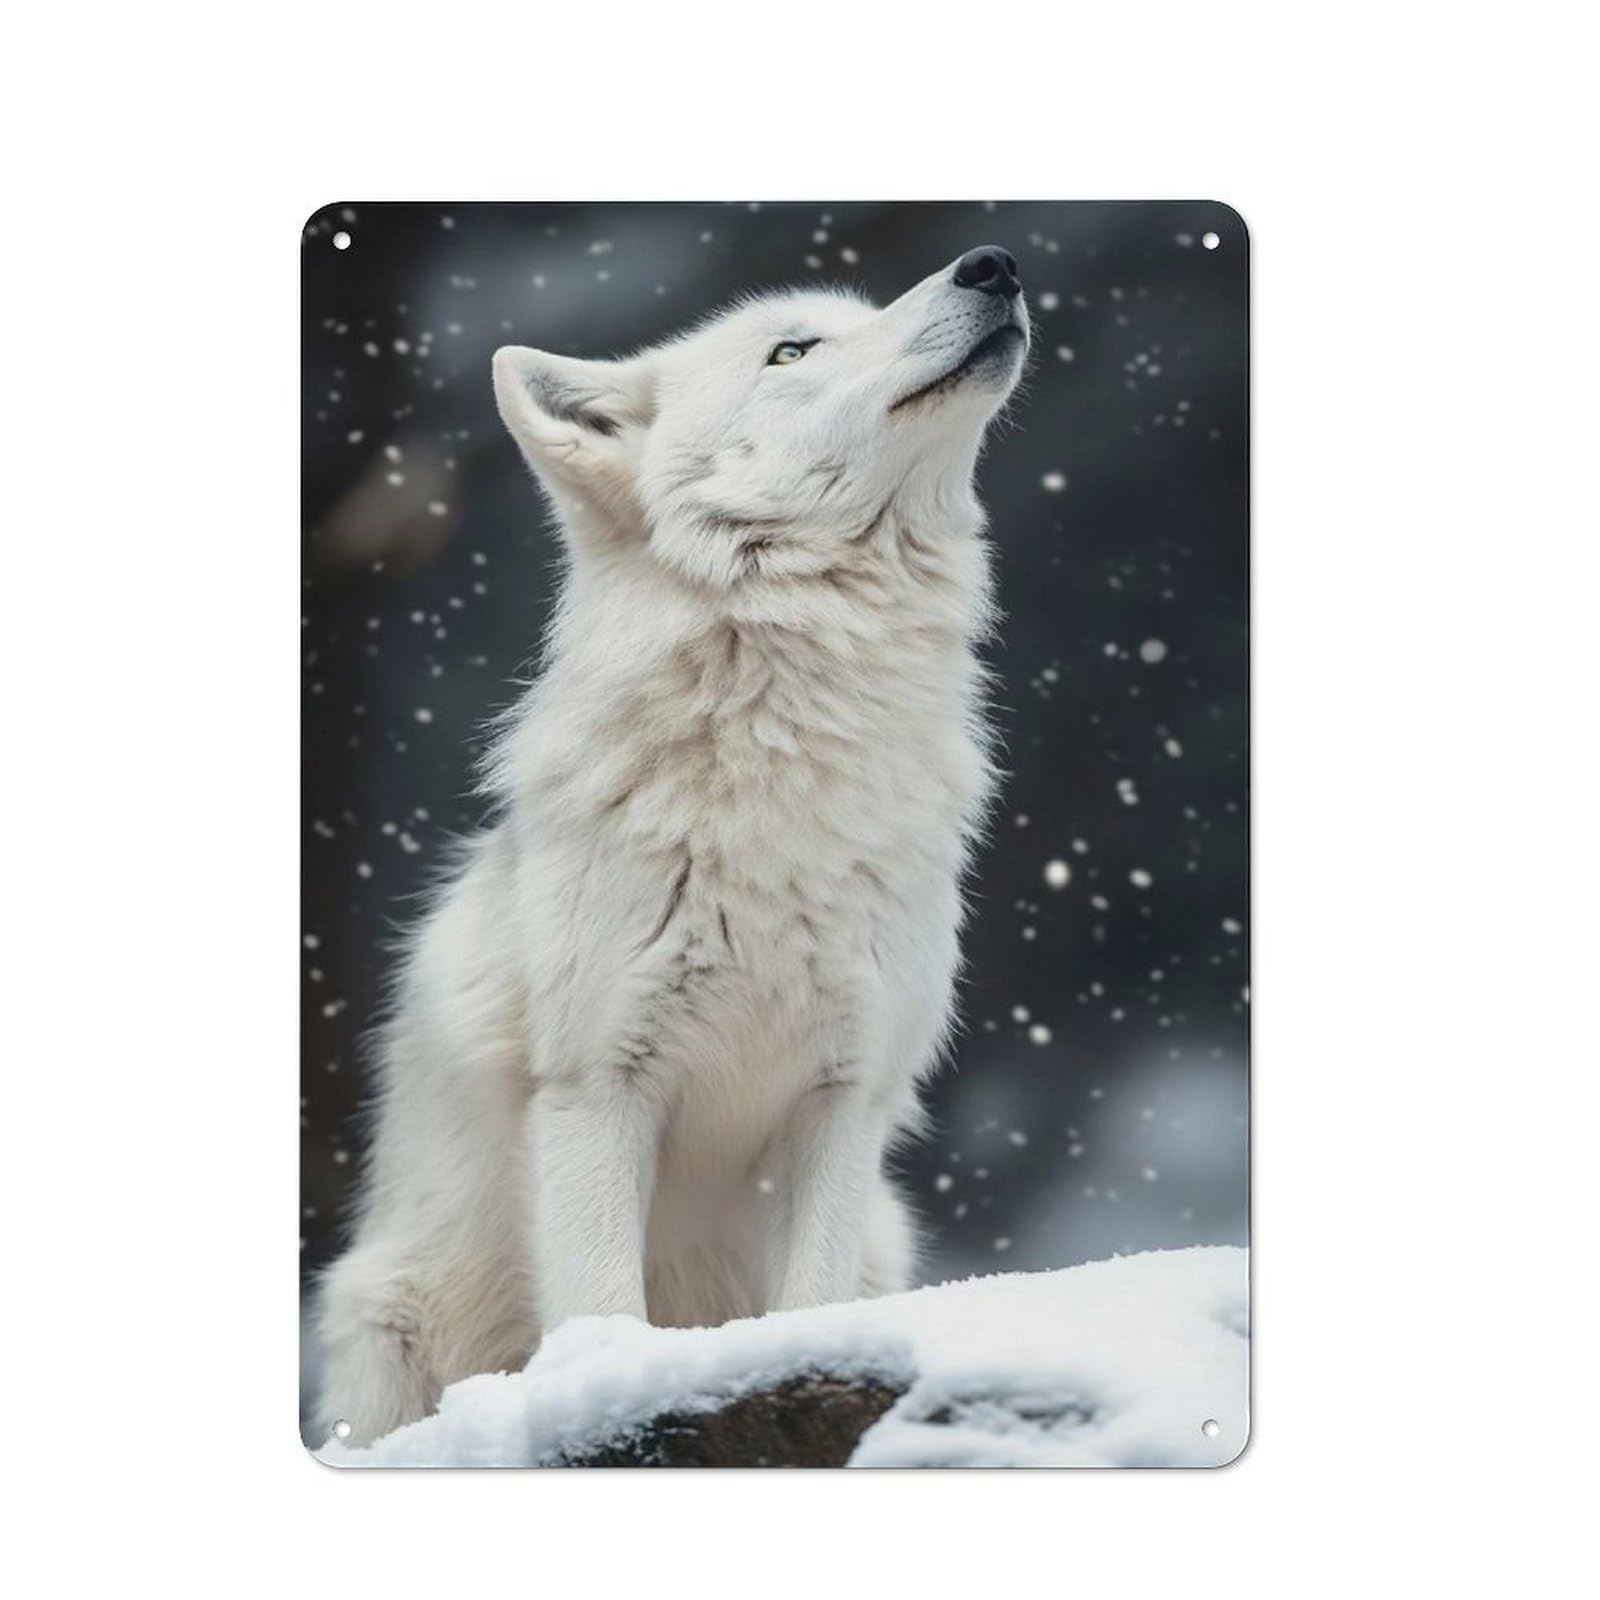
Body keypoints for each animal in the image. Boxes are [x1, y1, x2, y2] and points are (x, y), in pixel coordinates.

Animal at [315, 245, 1030, 1446]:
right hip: (384, 1316)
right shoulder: (598, 1088)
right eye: (792, 349)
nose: (994, 264)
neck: (785, 769)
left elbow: (809, 1301)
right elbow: (604, 1307)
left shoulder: (844, 1100)